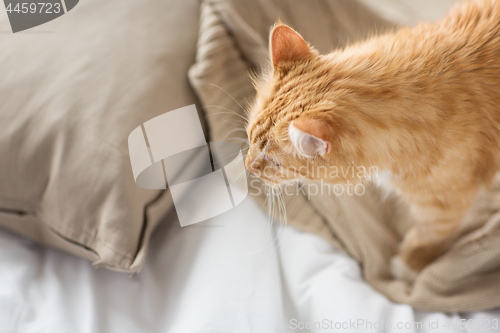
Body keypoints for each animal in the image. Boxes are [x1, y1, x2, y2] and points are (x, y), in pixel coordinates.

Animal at [244, 0, 500, 280]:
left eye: (275, 163)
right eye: (248, 138)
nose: (248, 166)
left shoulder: (445, 202)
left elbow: (431, 233)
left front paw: (410, 263)